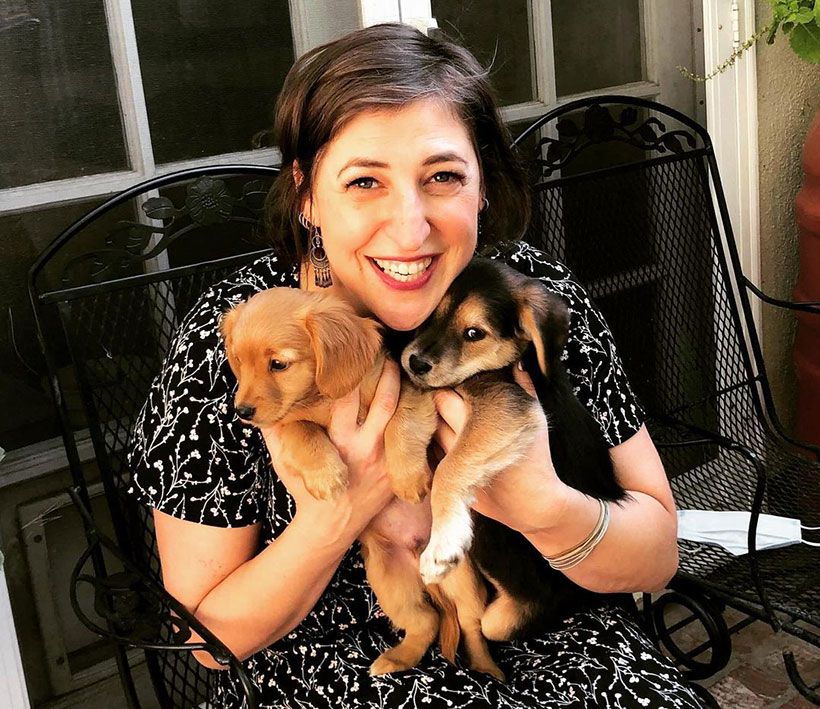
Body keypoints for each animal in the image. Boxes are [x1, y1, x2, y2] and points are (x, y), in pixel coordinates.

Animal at [404, 258, 628, 640]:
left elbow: (451, 466)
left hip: (499, 620)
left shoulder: (508, 405)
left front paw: (443, 542)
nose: (416, 363)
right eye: (432, 314)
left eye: (474, 334)